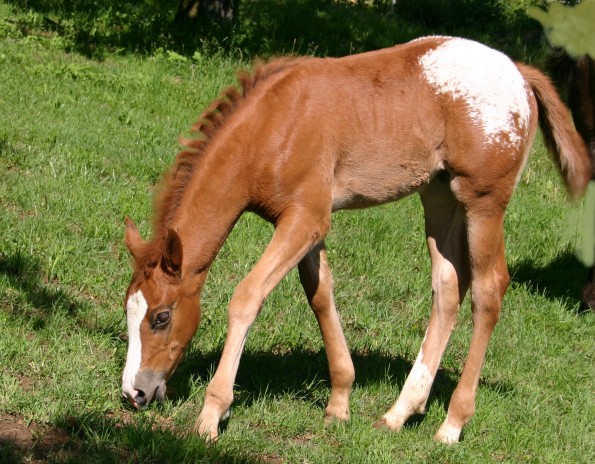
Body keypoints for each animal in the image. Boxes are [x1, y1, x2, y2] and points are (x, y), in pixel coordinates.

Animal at [121, 36, 592, 442]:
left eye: (161, 317)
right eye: (130, 309)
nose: (133, 393)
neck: (273, 125)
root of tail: (518, 71)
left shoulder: (306, 219)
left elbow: (248, 296)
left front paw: (212, 413)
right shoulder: (306, 225)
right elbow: (320, 295)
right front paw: (340, 401)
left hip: (483, 202)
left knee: (488, 291)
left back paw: (452, 424)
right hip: (439, 195)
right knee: (447, 287)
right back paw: (401, 411)